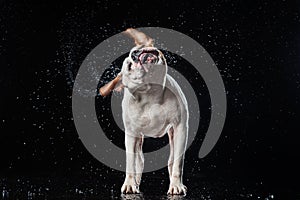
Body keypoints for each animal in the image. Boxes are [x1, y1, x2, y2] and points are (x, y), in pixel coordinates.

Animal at [102, 29, 188, 195]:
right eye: (129, 66)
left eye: (139, 48)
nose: (136, 53)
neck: (151, 93)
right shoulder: (131, 134)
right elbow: (130, 163)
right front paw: (130, 184)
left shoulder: (180, 128)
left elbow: (178, 163)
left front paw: (176, 185)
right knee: (138, 162)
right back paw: (135, 182)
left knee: (171, 160)